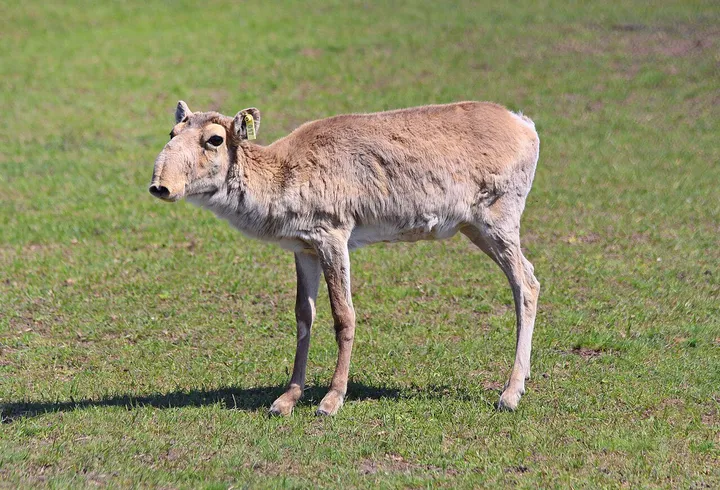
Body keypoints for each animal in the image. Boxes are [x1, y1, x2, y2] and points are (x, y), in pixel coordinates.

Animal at [149, 100, 540, 416]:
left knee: (526, 284)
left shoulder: (333, 235)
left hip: (498, 222)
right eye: (172, 131)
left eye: (215, 139)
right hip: (474, 228)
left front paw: (331, 399)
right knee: (530, 277)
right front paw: (286, 399)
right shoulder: (303, 248)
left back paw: (510, 393)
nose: (160, 185)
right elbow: (303, 316)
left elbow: (344, 316)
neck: (282, 172)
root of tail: (526, 125)